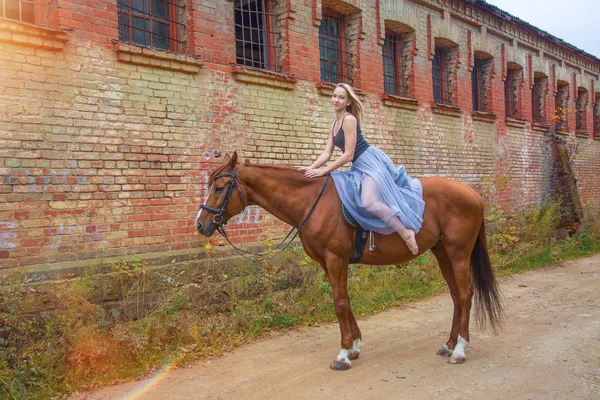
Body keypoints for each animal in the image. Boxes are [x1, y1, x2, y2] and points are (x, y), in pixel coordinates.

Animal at [196, 152, 502, 370]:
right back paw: (449, 344)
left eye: (220, 187)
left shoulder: (335, 259)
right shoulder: (328, 262)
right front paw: (354, 346)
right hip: (442, 253)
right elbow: (344, 300)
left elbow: (340, 303)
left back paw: (459, 350)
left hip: (458, 252)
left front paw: (343, 354)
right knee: (455, 295)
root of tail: (474, 194)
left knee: (465, 293)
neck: (313, 202)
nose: (201, 224)